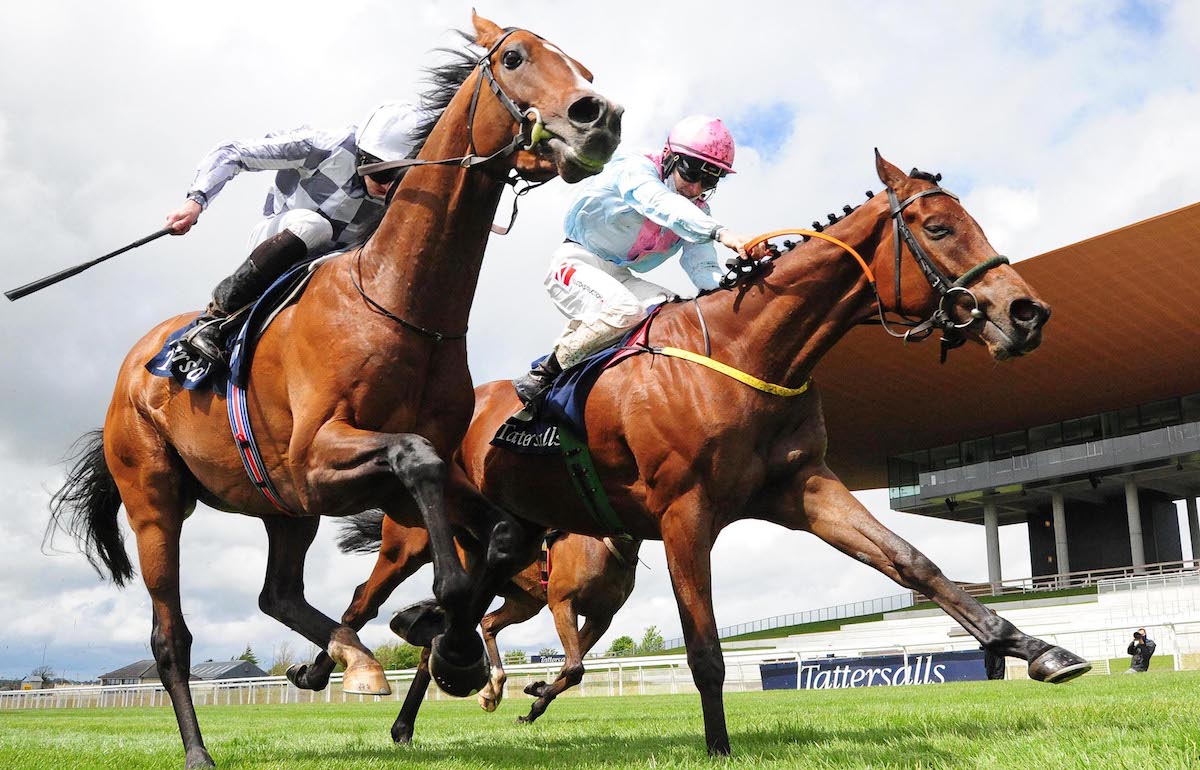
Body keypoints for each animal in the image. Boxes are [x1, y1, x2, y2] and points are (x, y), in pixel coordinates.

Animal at [328, 508, 643, 729]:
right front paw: (535, 692)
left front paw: (534, 699)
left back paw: (492, 687)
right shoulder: (562, 603)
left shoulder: (601, 618)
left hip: (524, 601)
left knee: (486, 624)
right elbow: (575, 667)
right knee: (366, 602)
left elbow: (571, 669)